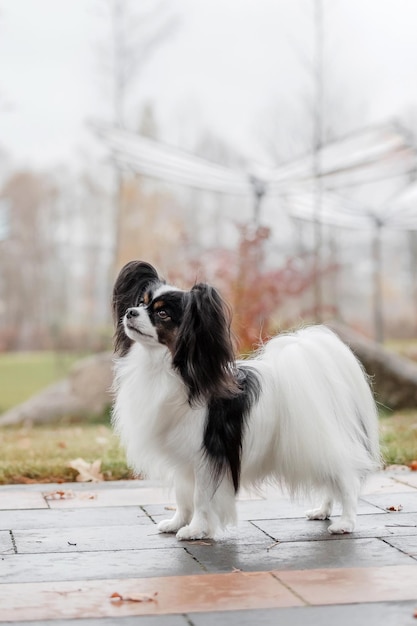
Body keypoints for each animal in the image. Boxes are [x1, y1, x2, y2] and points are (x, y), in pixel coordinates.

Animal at [111, 260, 380, 540]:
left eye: (162, 314)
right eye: (140, 302)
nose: (129, 312)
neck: (168, 367)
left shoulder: (207, 453)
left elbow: (200, 498)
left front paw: (195, 530)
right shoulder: (183, 458)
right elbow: (182, 496)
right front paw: (177, 523)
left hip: (322, 444)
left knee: (346, 481)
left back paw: (345, 523)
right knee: (330, 482)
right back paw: (322, 511)